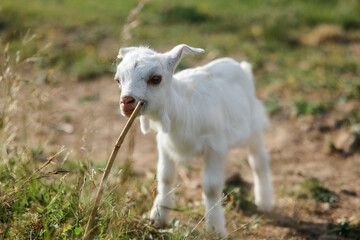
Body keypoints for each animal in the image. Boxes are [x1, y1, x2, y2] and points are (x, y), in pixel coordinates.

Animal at [115, 44, 272, 237]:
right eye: (118, 80)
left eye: (156, 79)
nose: (126, 101)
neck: (181, 109)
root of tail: (242, 67)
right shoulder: (164, 144)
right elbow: (165, 177)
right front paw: (158, 217)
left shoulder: (215, 146)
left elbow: (211, 186)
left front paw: (215, 229)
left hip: (253, 126)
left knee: (259, 160)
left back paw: (264, 202)